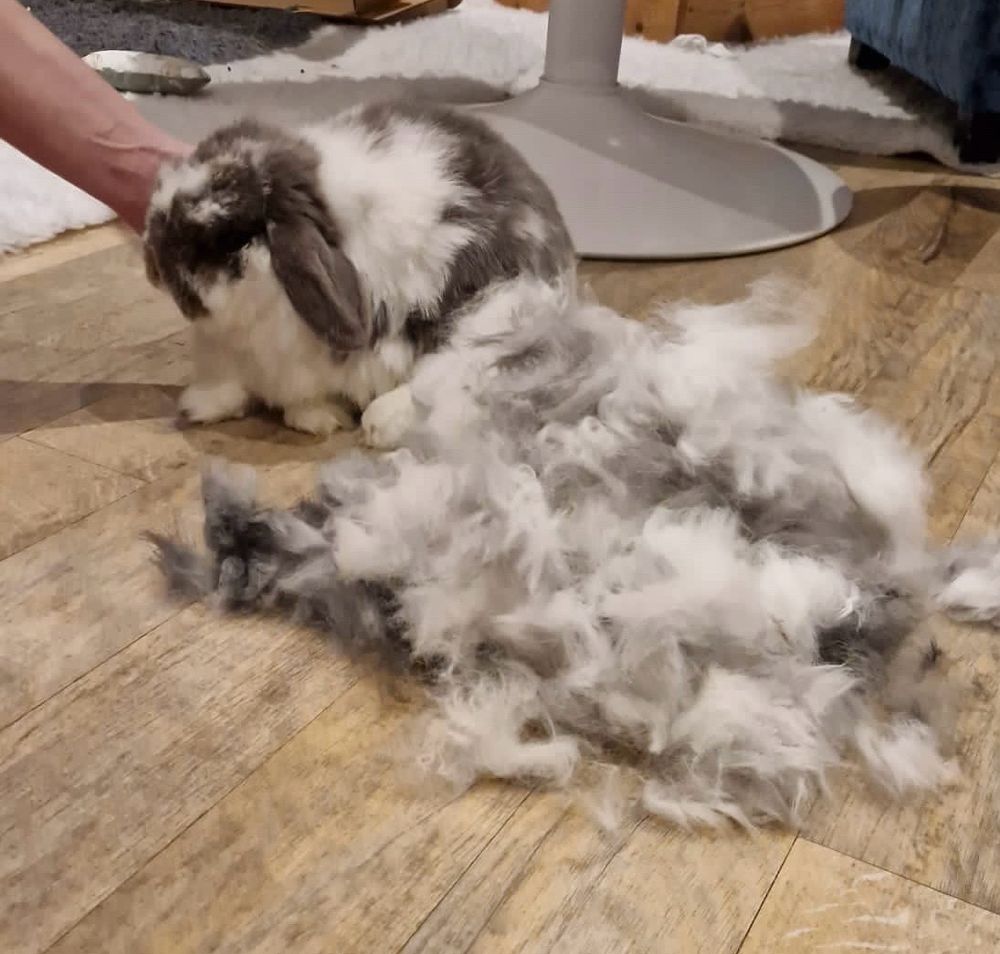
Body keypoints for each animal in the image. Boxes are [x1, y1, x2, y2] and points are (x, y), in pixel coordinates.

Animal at [141, 98, 576, 446]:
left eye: (229, 238)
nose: (152, 264)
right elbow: (232, 383)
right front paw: (202, 404)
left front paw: (317, 418)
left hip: (499, 308)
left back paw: (383, 423)